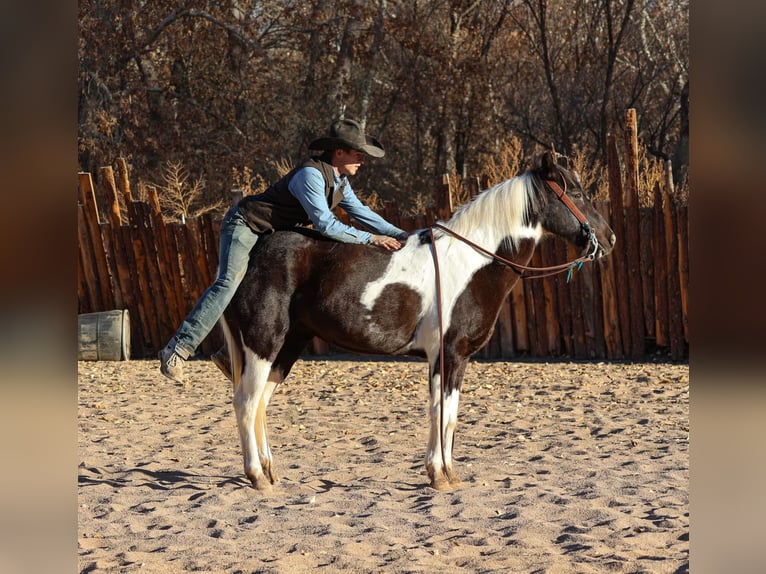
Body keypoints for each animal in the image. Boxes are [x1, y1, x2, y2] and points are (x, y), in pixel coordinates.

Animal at [219, 150, 616, 491]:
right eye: (575, 191)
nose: (608, 238)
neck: (471, 263)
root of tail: (248, 255)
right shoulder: (447, 354)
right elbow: (440, 411)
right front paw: (438, 474)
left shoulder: (458, 358)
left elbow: (450, 415)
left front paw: (449, 473)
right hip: (263, 343)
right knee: (246, 402)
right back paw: (257, 476)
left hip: (287, 347)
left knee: (261, 402)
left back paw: (270, 471)